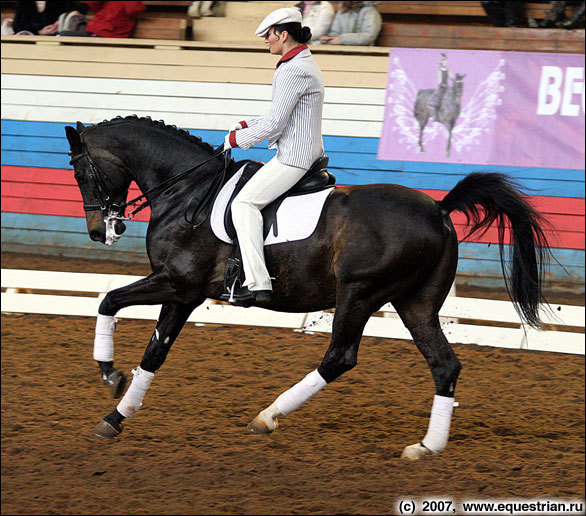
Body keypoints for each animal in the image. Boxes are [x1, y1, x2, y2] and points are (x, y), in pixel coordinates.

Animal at [66, 116, 548, 460]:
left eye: (80, 172)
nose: (99, 231)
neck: (188, 191)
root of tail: (440, 211)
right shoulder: (183, 294)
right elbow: (154, 352)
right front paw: (116, 415)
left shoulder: (177, 284)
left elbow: (109, 302)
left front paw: (110, 375)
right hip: (415, 303)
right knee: (444, 365)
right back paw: (426, 447)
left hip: (359, 294)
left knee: (340, 357)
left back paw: (267, 417)